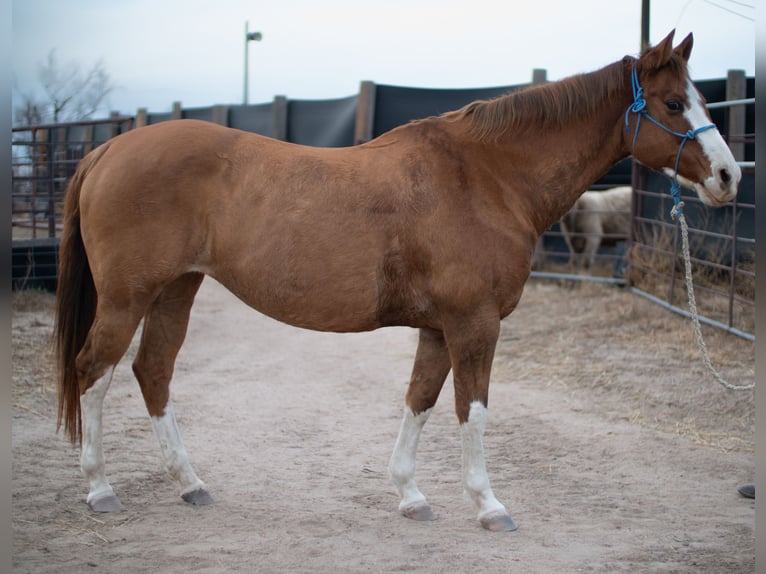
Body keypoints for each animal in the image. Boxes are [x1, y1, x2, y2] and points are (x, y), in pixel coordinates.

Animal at [55, 31, 744, 532]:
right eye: (674, 104)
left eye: (701, 100)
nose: (730, 177)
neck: (485, 176)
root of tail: (106, 151)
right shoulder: (473, 325)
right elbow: (473, 410)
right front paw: (488, 505)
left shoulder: (440, 329)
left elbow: (421, 401)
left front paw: (411, 495)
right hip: (128, 297)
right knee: (94, 371)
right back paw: (99, 488)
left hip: (177, 289)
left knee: (153, 371)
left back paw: (192, 484)